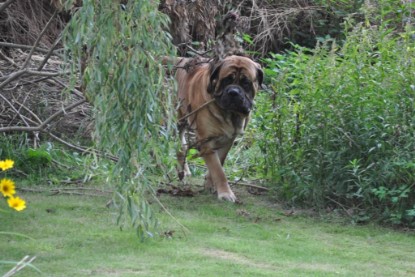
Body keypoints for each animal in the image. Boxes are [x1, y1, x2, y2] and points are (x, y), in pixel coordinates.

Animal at [172, 55, 264, 202]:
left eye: (246, 82)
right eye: (227, 80)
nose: (233, 92)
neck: (228, 114)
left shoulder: (227, 141)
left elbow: (218, 163)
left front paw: (209, 184)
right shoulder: (206, 142)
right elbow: (218, 170)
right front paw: (226, 193)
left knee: (182, 146)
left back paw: (184, 171)